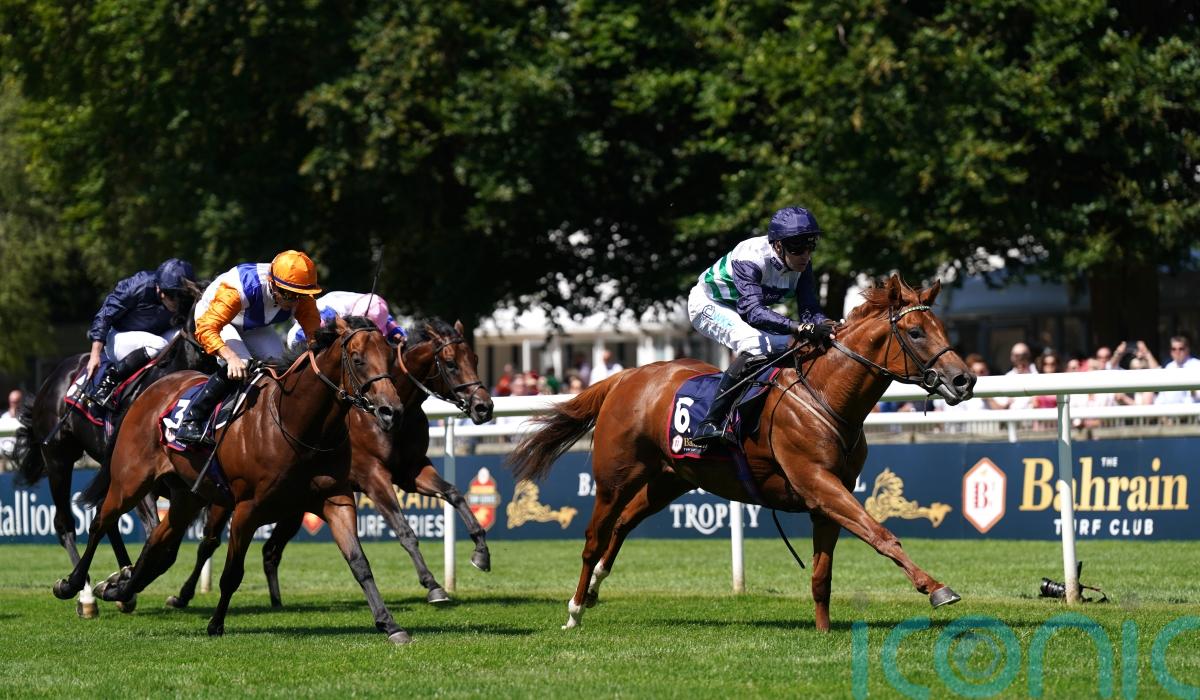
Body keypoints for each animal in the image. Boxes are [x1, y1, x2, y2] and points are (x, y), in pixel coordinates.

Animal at [11, 285, 215, 616]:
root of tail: (57, 374)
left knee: (106, 517)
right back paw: (86, 595)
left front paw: (123, 583)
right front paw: (116, 584)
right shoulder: (145, 480)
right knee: (65, 523)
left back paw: (120, 582)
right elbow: (154, 534)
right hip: (58, 458)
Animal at [53, 316, 414, 643]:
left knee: (158, 540)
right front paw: (215, 624)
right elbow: (231, 574)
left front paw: (389, 624)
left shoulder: (335, 500)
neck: (298, 424)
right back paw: (73, 585)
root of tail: (149, 390)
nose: (392, 411)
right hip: (131, 481)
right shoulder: (246, 510)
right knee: (100, 522)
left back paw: (120, 590)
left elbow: (359, 563)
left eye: (390, 357)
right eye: (358, 359)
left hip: (187, 496)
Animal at [165, 317, 495, 609]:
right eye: (451, 364)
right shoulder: (373, 476)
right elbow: (405, 531)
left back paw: (276, 601)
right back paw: (181, 595)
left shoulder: (410, 471)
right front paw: (433, 585)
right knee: (209, 543)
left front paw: (481, 552)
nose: (484, 407)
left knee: (270, 550)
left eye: (476, 358)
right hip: (229, 499)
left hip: (292, 507)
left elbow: (453, 493)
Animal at [508, 275, 976, 632]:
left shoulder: (827, 497)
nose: (965, 380)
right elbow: (881, 535)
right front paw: (937, 588)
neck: (825, 396)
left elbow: (822, 575)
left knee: (623, 524)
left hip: (670, 479)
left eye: (943, 328)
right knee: (594, 538)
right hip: (614, 477)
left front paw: (824, 631)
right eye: (915, 332)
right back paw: (574, 609)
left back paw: (595, 589)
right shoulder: (818, 483)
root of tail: (626, 377)